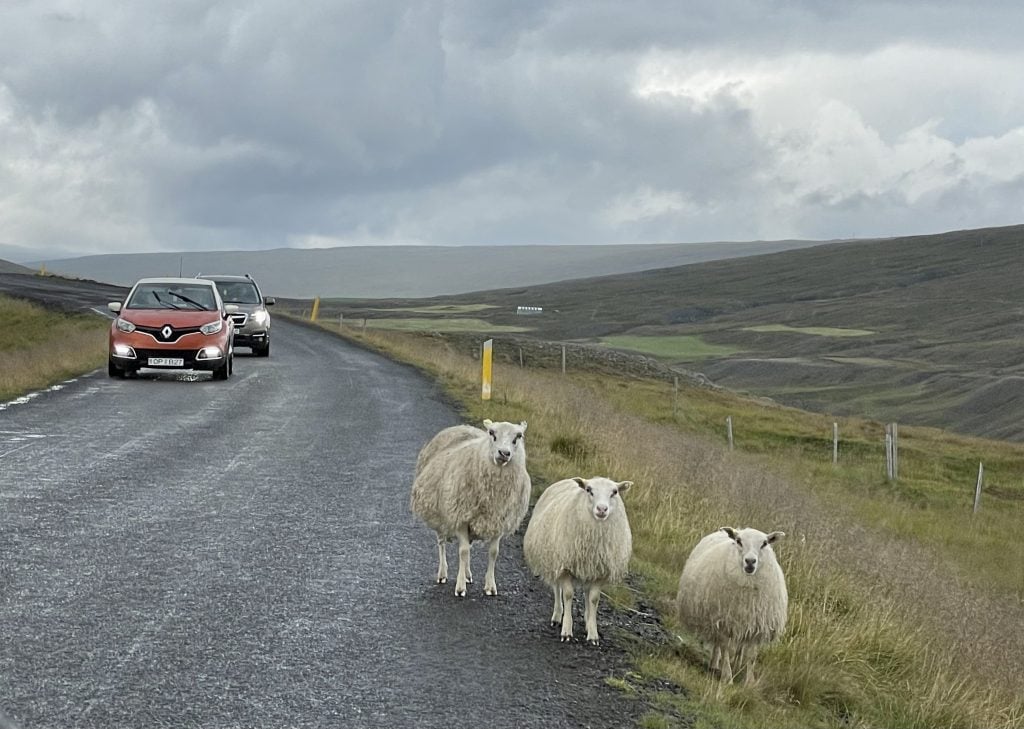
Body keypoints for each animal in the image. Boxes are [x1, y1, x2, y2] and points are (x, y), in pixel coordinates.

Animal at [409, 417, 532, 593]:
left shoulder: (498, 520)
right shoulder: (460, 516)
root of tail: (460, 427)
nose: (504, 453)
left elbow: (493, 552)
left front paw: (490, 586)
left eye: (518, 436)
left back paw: (467, 574)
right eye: (492, 433)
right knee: (442, 542)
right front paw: (460, 588)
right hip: (440, 512)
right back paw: (442, 573)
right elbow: (463, 551)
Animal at [528, 479, 630, 642]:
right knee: (557, 588)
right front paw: (566, 630)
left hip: (588, 567)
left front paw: (593, 633)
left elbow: (594, 599)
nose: (602, 509)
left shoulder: (599, 571)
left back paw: (587, 620)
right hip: (553, 559)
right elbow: (568, 595)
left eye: (614, 492)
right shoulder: (565, 567)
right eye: (589, 490)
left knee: (587, 594)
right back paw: (557, 616)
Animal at [675, 528, 786, 688]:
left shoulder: (756, 625)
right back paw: (715, 665)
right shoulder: (724, 622)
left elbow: (751, 655)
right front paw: (727, 677)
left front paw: (749, 682)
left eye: (765, 543)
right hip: (716, 619)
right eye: (739, 541)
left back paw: (734, 666)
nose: (750, 561)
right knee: (718, 645)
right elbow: (726, 648)